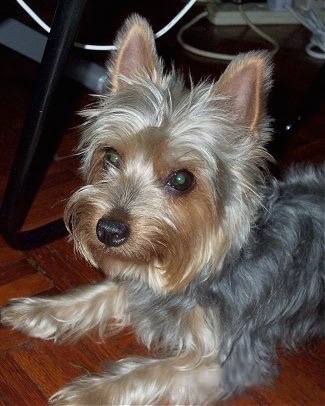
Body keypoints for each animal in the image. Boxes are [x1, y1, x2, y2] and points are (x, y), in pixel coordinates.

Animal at [1, 14, 322, 404]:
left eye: (181, 180)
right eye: (111, 157)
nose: (108, 230)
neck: (207, 268)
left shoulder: (220, 363)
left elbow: (144, 373)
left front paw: (86, 394)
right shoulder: (140, 279)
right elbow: (103, 291)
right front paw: (39, 310)